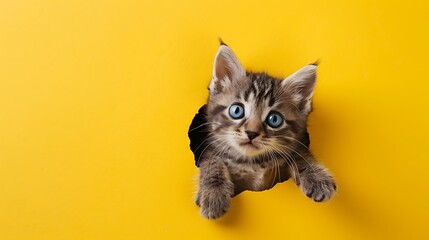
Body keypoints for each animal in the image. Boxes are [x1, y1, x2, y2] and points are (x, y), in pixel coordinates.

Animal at [192, 42, 336, 218]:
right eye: (237, 110)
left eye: (274, 119)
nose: (251, 133)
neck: (251, 162)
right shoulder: (209, 150)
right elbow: (212, 161)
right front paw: (213, 196)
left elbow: (299, 154)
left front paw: (317, 178)